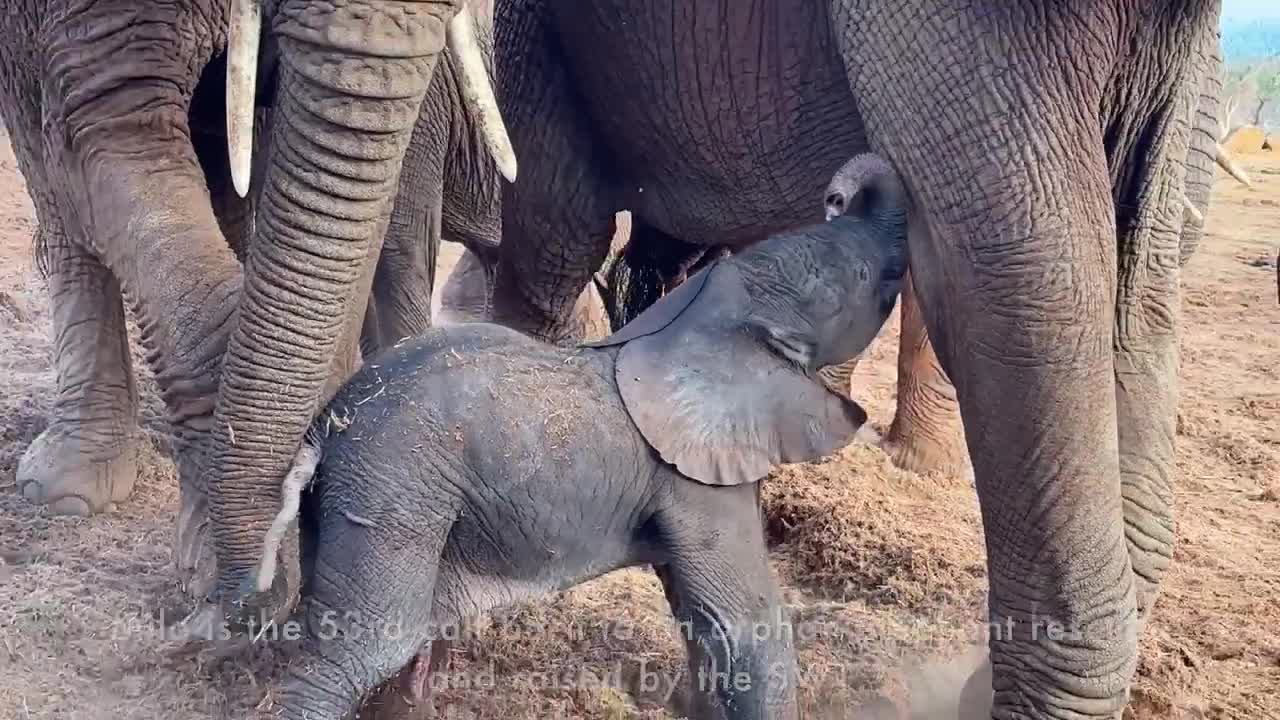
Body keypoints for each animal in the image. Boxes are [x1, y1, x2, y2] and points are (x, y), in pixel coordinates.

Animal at [254, 156, 906, 717]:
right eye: (867, 278)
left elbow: (700, 614)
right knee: (361, 652)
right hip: (391, 495)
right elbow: (744, 623)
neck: (699, 313)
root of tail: (326, 428)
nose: (835, 194)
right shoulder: (697, 480)